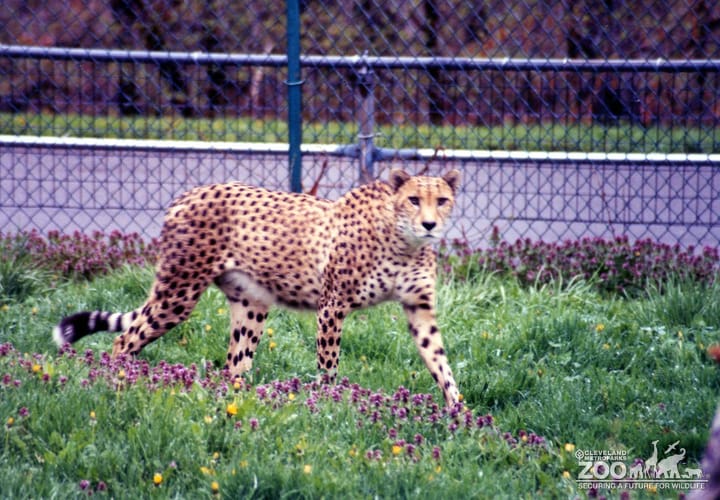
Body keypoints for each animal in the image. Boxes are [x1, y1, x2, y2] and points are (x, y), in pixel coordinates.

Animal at [53, 168, 462, 407]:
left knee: (234, 364)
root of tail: (187, 194)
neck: (403, 240)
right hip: (178, 293)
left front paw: (460, 414)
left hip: (251, 305)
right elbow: (328, 365)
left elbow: (439, 360)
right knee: (124, 341)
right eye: (413, 199)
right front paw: (330, 403)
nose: (430, 225)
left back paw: (237, 404)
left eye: (442, 200)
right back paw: (116, 383)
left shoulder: (419, 309)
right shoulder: (332, 306)